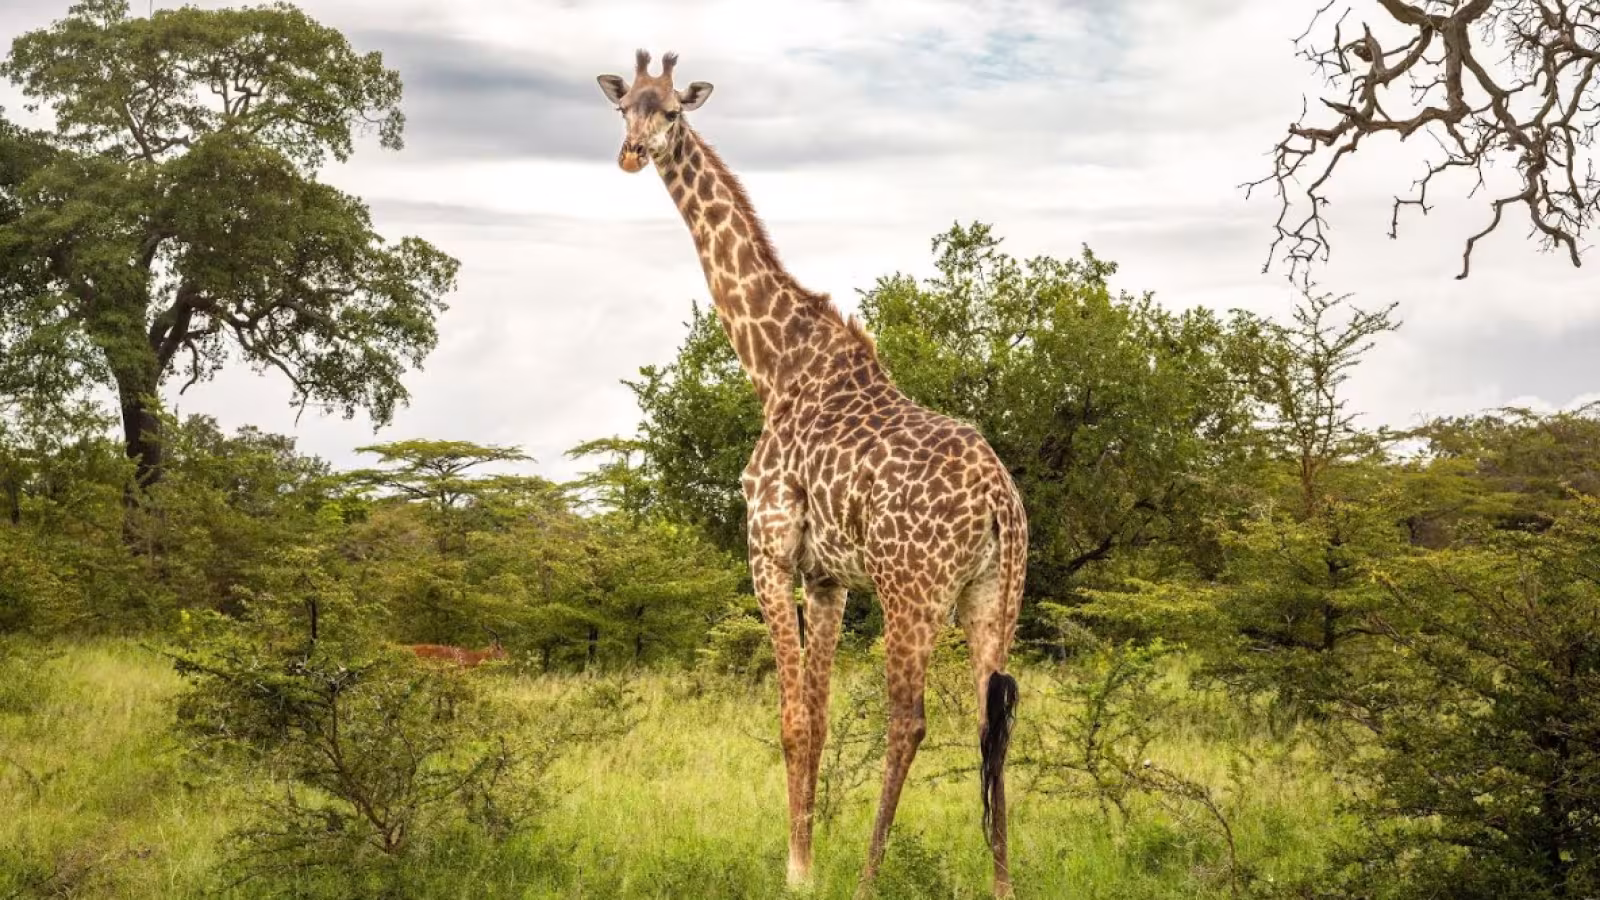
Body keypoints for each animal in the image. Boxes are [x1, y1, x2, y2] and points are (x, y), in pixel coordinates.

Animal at [596, 50, 1028, 897]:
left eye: (673, 112)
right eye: (625, 106)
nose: (630, 154)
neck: (773, 364)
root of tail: (1001, 500)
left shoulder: (769, 549)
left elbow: (793, 720)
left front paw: (799, 870)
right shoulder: (828, 575)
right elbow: (821, 720)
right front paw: (807, 855)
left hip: (911, 588)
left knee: (910, 719)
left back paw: (869, 873)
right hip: (994, 593)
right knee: (990, 718)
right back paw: (1000, 881)